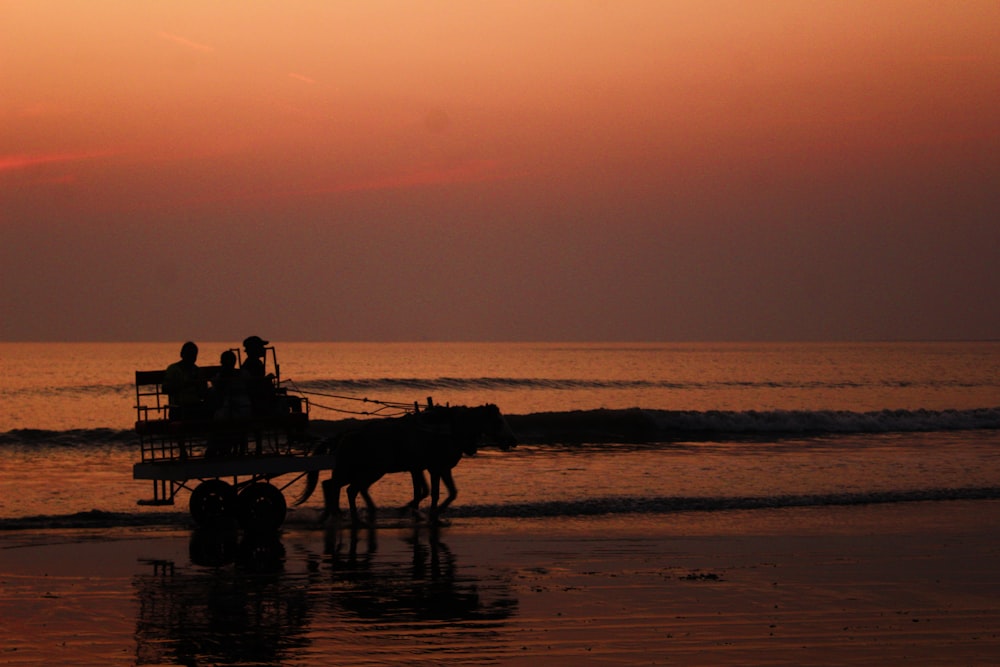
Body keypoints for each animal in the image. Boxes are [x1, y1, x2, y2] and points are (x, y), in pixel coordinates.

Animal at [292, 404, 516, 524]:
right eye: (498, 421)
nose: (512, 441)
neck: (448, 429)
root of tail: (346, 435)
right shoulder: (434, 468)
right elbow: (434, 493)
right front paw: (431, 515)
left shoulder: (429, 468)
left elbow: (445, 492)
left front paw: (422, 513)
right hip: (367, 470)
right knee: (342, 487)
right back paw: (348, 517)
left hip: (364, 470)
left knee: (337, 486)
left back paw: (337, 514)